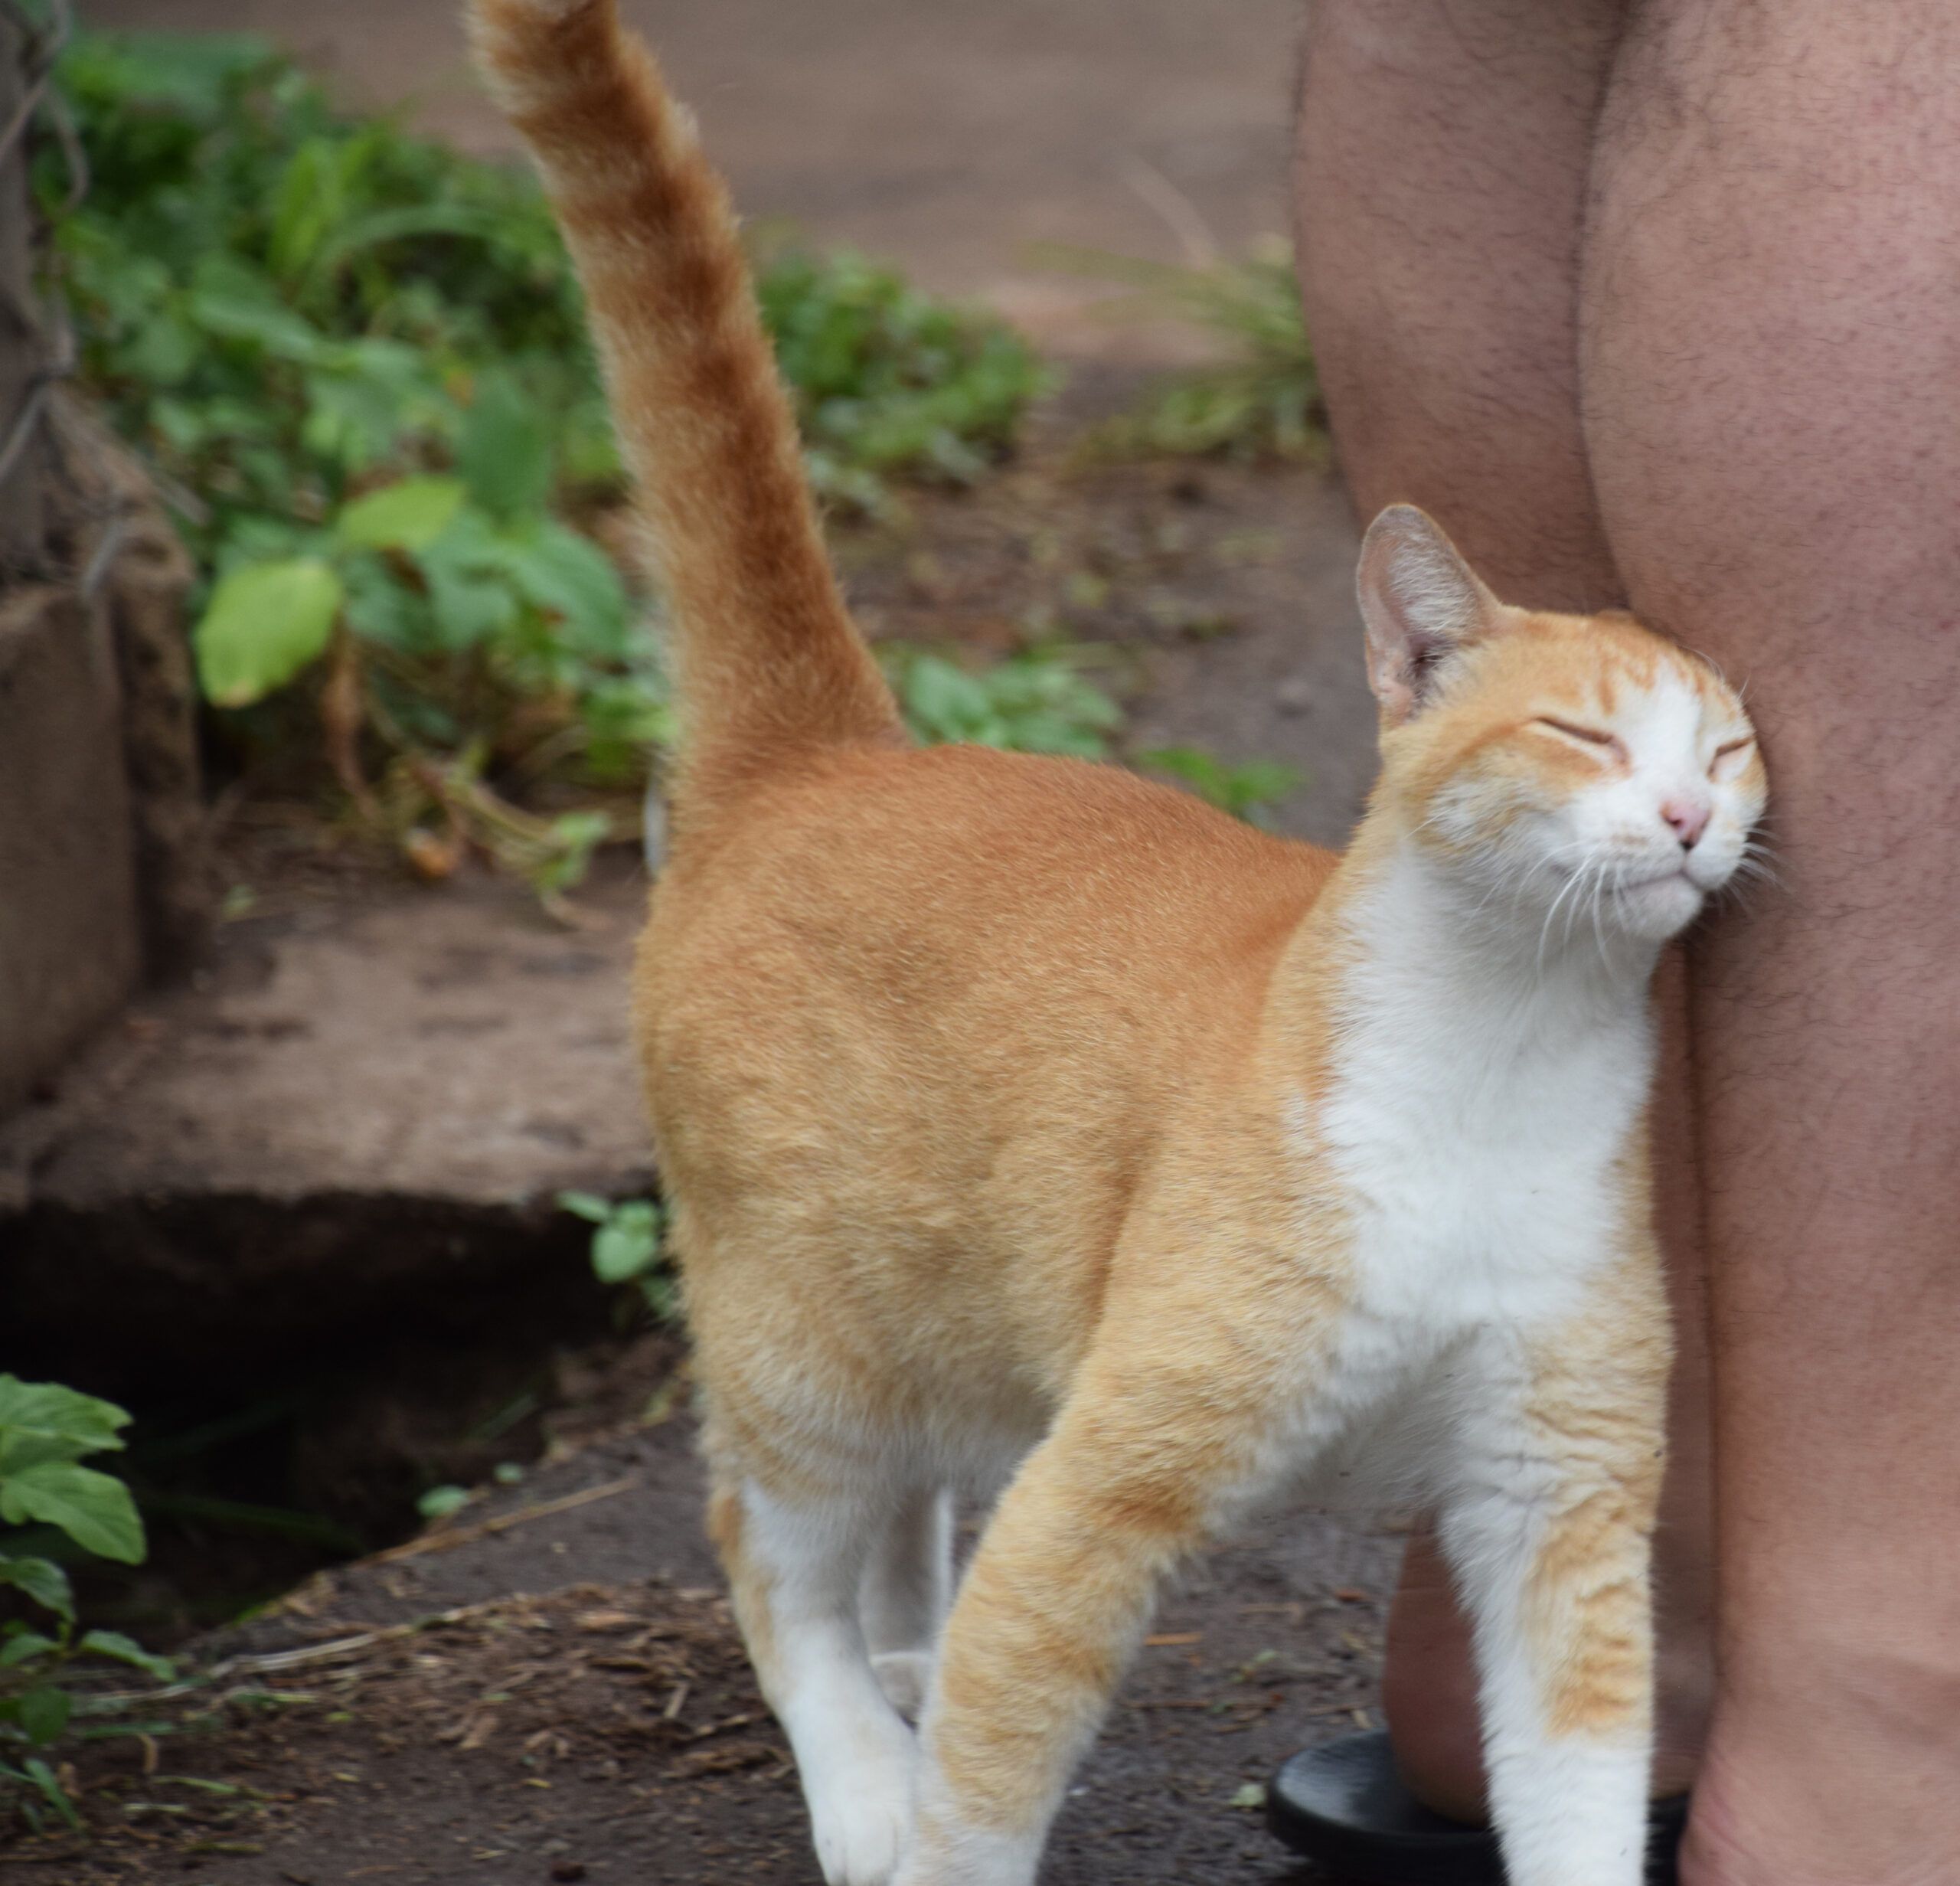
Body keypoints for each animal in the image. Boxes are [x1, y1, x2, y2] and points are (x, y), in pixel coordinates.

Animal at [466, 7, 1772, 1874]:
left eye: (1724, 750)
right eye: (1584, 736)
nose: (1682, 818)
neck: (1503, 1045)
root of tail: (825, 753)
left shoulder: (1562, 1506)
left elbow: (1578, 1794)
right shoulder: (1095, 1485)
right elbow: (994, 1776)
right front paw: (929, 1811)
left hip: (948, 1302)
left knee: (899, 1517)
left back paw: (900, 1669)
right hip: (806, 1330)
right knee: (762, 1539)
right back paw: (865, 1774)